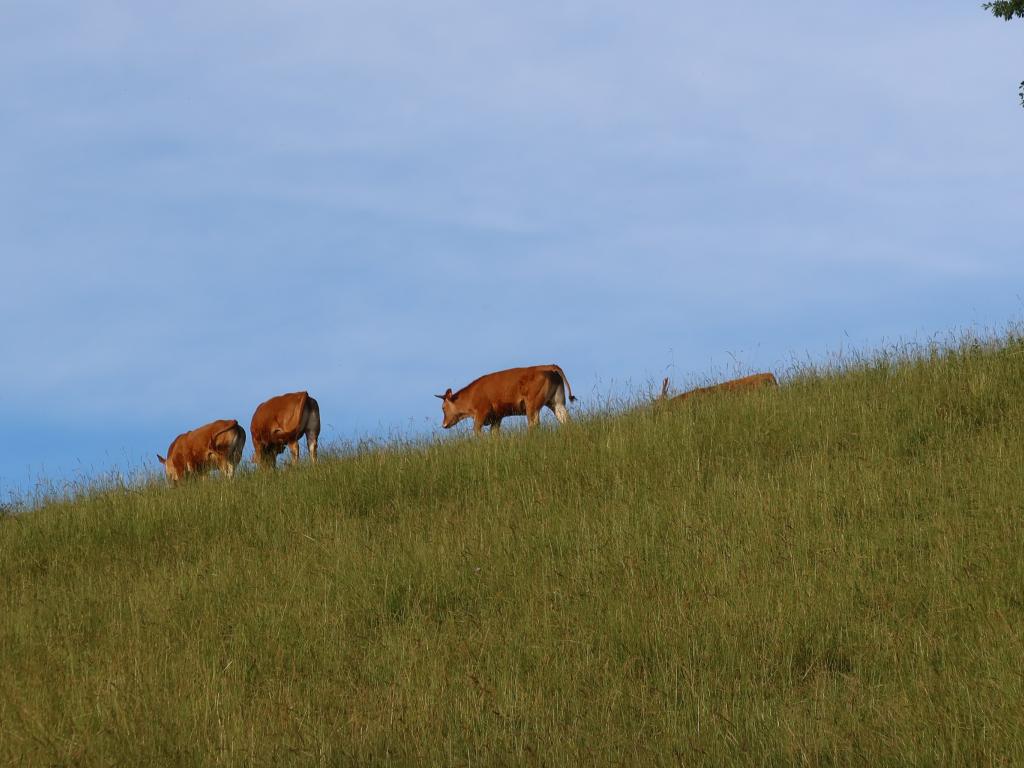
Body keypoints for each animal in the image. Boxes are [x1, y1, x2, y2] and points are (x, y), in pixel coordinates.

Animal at [432, 364, 577, 436]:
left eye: (443, 408)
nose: (444, 424)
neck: (472, 395)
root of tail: (549, 366)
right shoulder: (497, 418)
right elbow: (494, 434)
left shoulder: (481, 413)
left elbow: (476, 431)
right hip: (557, 403)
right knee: (566, 420)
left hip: (532, 405)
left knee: (534, 424)